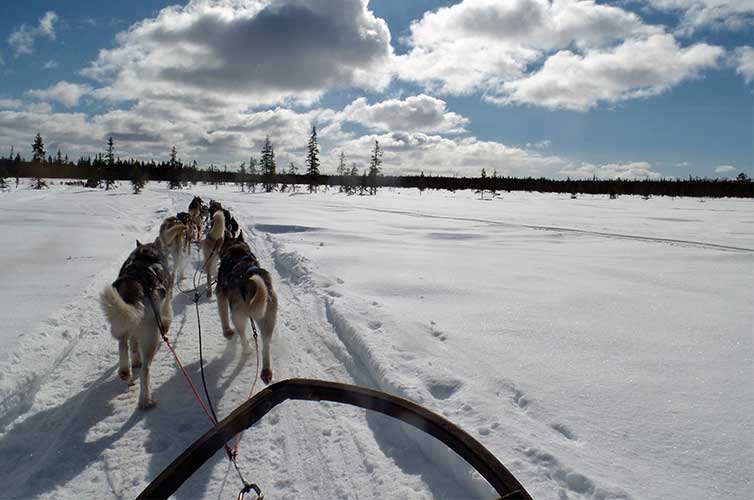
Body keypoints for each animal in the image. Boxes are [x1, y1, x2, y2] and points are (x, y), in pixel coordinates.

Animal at [98, 239, 170, 410]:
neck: (145, 255)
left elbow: (133, 344)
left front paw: (135, 360)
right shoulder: (166, 304)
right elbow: (168, 317)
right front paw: (166, 327)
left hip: (121, 325)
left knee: (123, 346)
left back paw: (126, 372)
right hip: (150, 338)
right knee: (145, 370)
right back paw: (145, 400)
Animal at [216, 230, 278, 382]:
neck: (237, 251)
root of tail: (251, 282)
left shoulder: (220, 294)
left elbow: (223, 315)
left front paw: (227, 332)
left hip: (237, 315)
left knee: (242, 334)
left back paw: (246, 349)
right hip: (268, 318)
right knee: (265, 346)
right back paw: (266, 370)